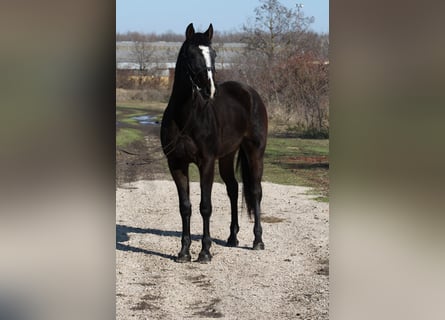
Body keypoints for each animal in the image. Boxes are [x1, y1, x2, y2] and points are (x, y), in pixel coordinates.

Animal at [160, 23, 268, 262]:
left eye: (214, 54)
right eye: (192, 55)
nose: (210, 90)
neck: (186, 117)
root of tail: (250, 93)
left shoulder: (206, 162)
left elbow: (205, 206)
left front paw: (205, 251)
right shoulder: (176, 163)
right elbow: (185, 207)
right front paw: (184, 252)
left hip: (255, 152)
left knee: (255, 191)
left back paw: (257, 240)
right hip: (227, 156)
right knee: (233, 189)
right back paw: (232, 237)